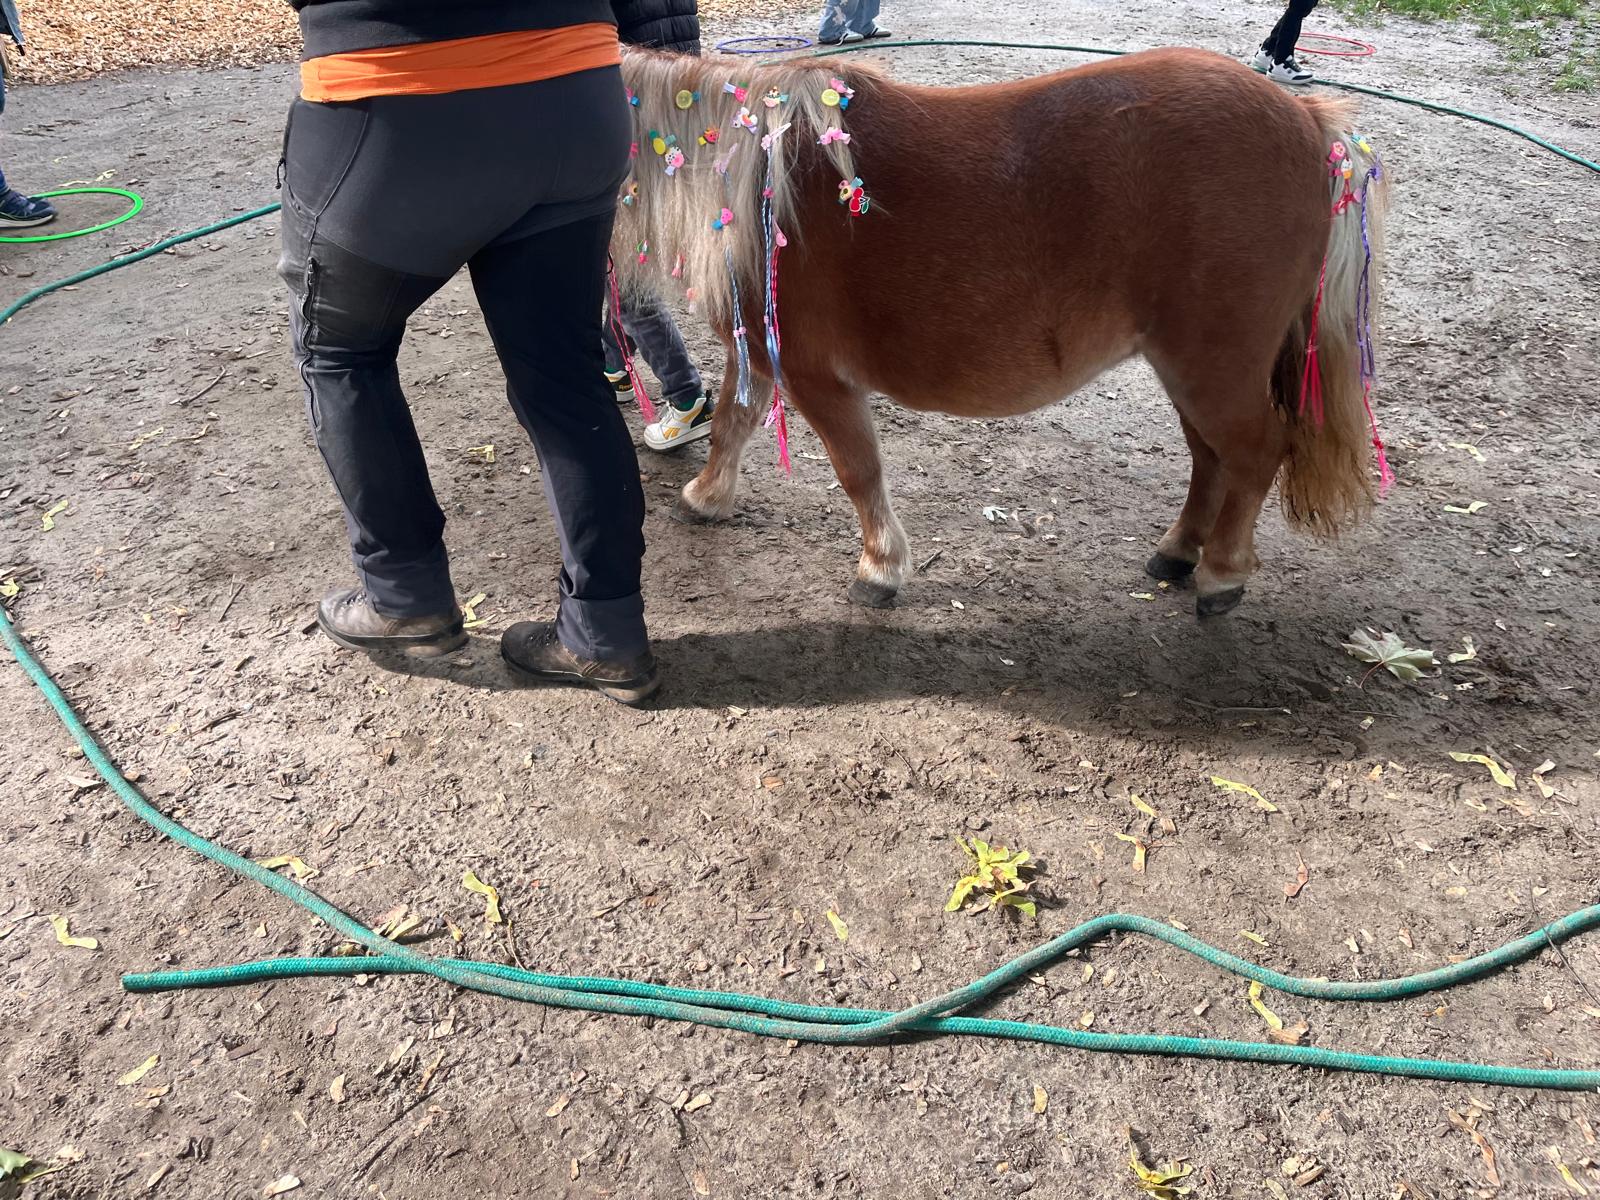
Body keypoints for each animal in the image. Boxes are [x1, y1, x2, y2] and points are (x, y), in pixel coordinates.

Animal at [613, 46, 1389, 616]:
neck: (749, 177)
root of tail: (1307, 120)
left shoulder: (813, 374)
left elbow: (859, 470)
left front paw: (881, 567)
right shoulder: (758, 354)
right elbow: (731, 423)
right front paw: (706, 498)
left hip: (1215, 365)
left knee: (1255, 452)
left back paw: (1223, 574)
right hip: (1189, 367)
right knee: (1211, 456)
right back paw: (1176, 552)